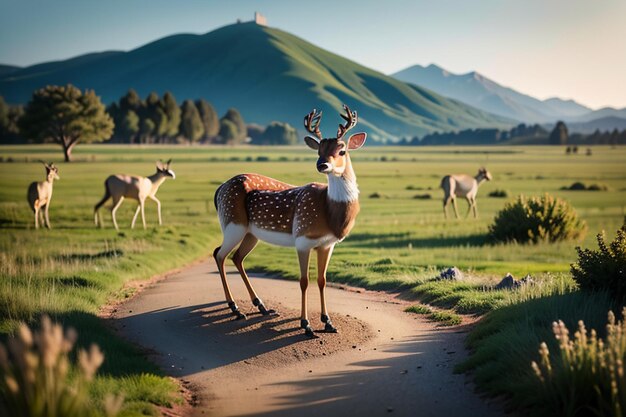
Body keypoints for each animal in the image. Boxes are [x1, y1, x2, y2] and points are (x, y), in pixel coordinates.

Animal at [213, 105, 366, 336]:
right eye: (319, 150)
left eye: (342, 150)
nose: (322, 164)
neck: (330, 212)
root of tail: (220, 188)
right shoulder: (302, 238)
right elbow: (303, 281)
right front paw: (306, 325)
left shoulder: (327, 244)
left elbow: (322, 280)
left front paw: (328, 322)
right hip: (232, 223)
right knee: (220, 254)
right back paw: (236, 309)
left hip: (250, 233)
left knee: (237, 257)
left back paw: (261, 306)